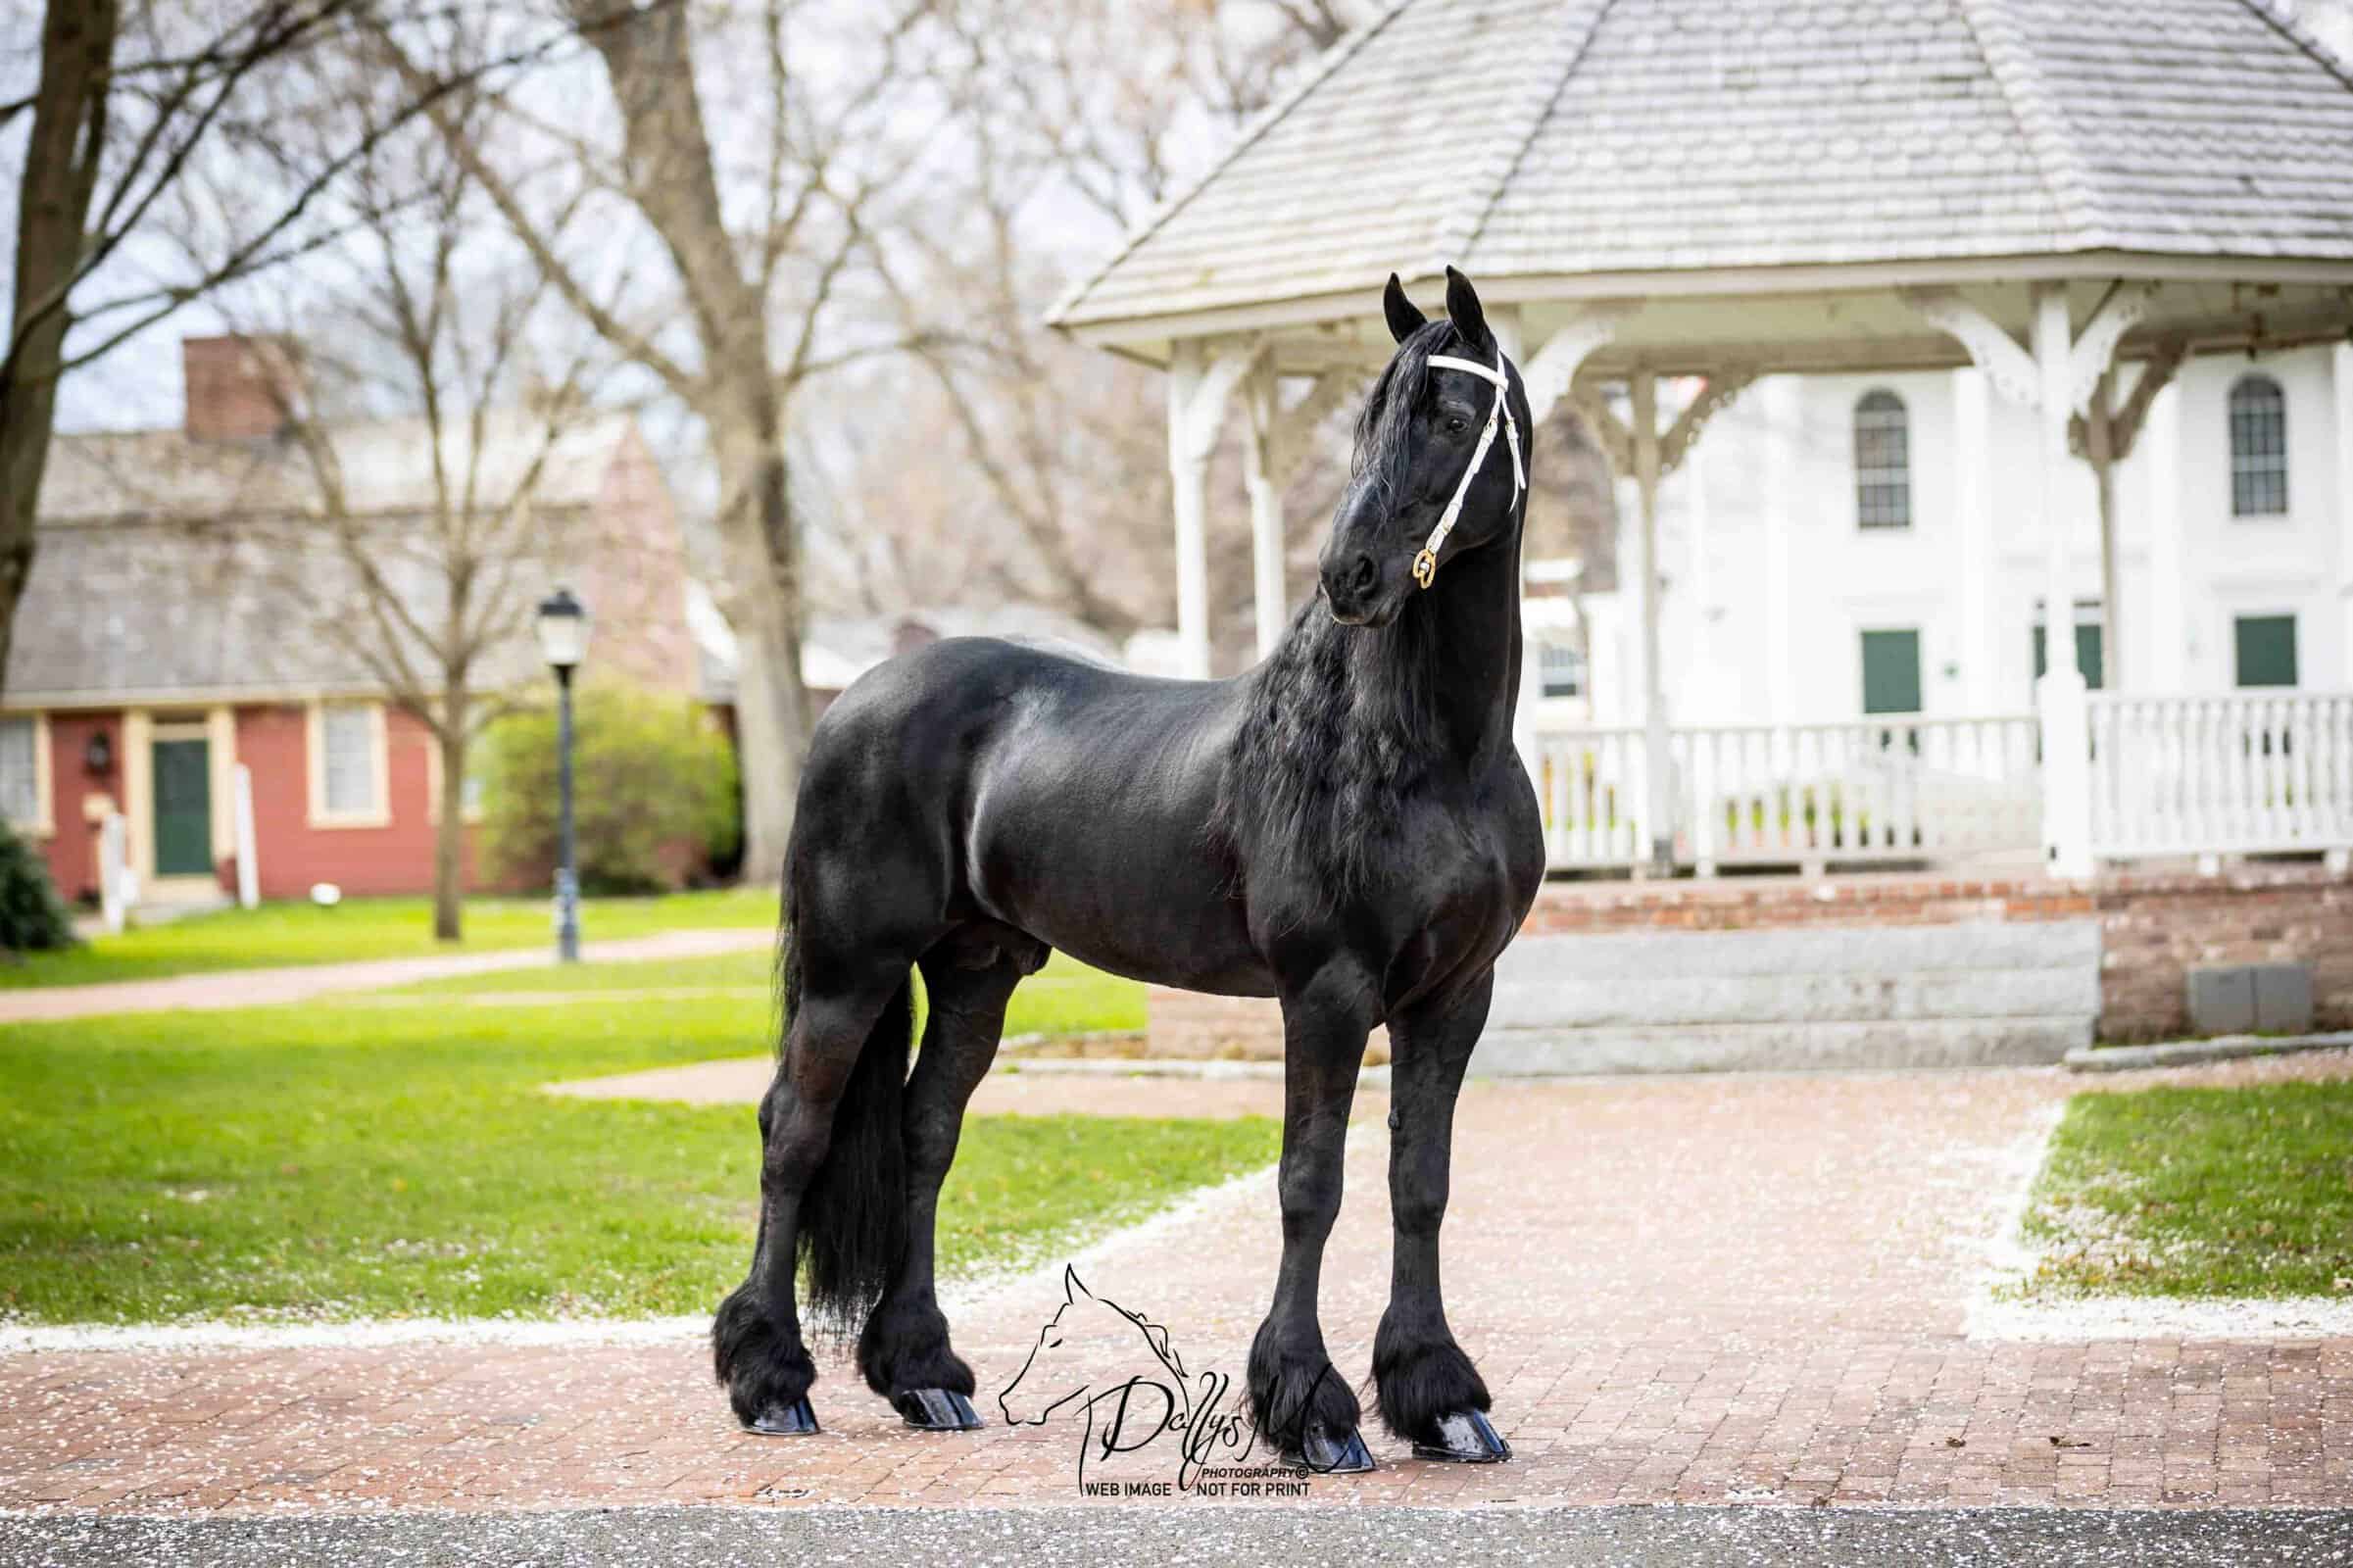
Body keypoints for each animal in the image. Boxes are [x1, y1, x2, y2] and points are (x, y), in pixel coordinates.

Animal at [713, 266, 1540, 1472]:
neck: (1420, 754)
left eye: (1449, 415)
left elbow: (1416, 1186)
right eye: (1369, 419)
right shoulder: (1326, 993)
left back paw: (925, 1375)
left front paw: (1438, 1397)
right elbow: (1311, 1185)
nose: (1351, 575)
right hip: (848, 971)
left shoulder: (1452, 996)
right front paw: (1311, 1408)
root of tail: (854, 699)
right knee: (793, 1132)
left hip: (976, 970)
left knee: (922, 1136)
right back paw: (770, 1380)